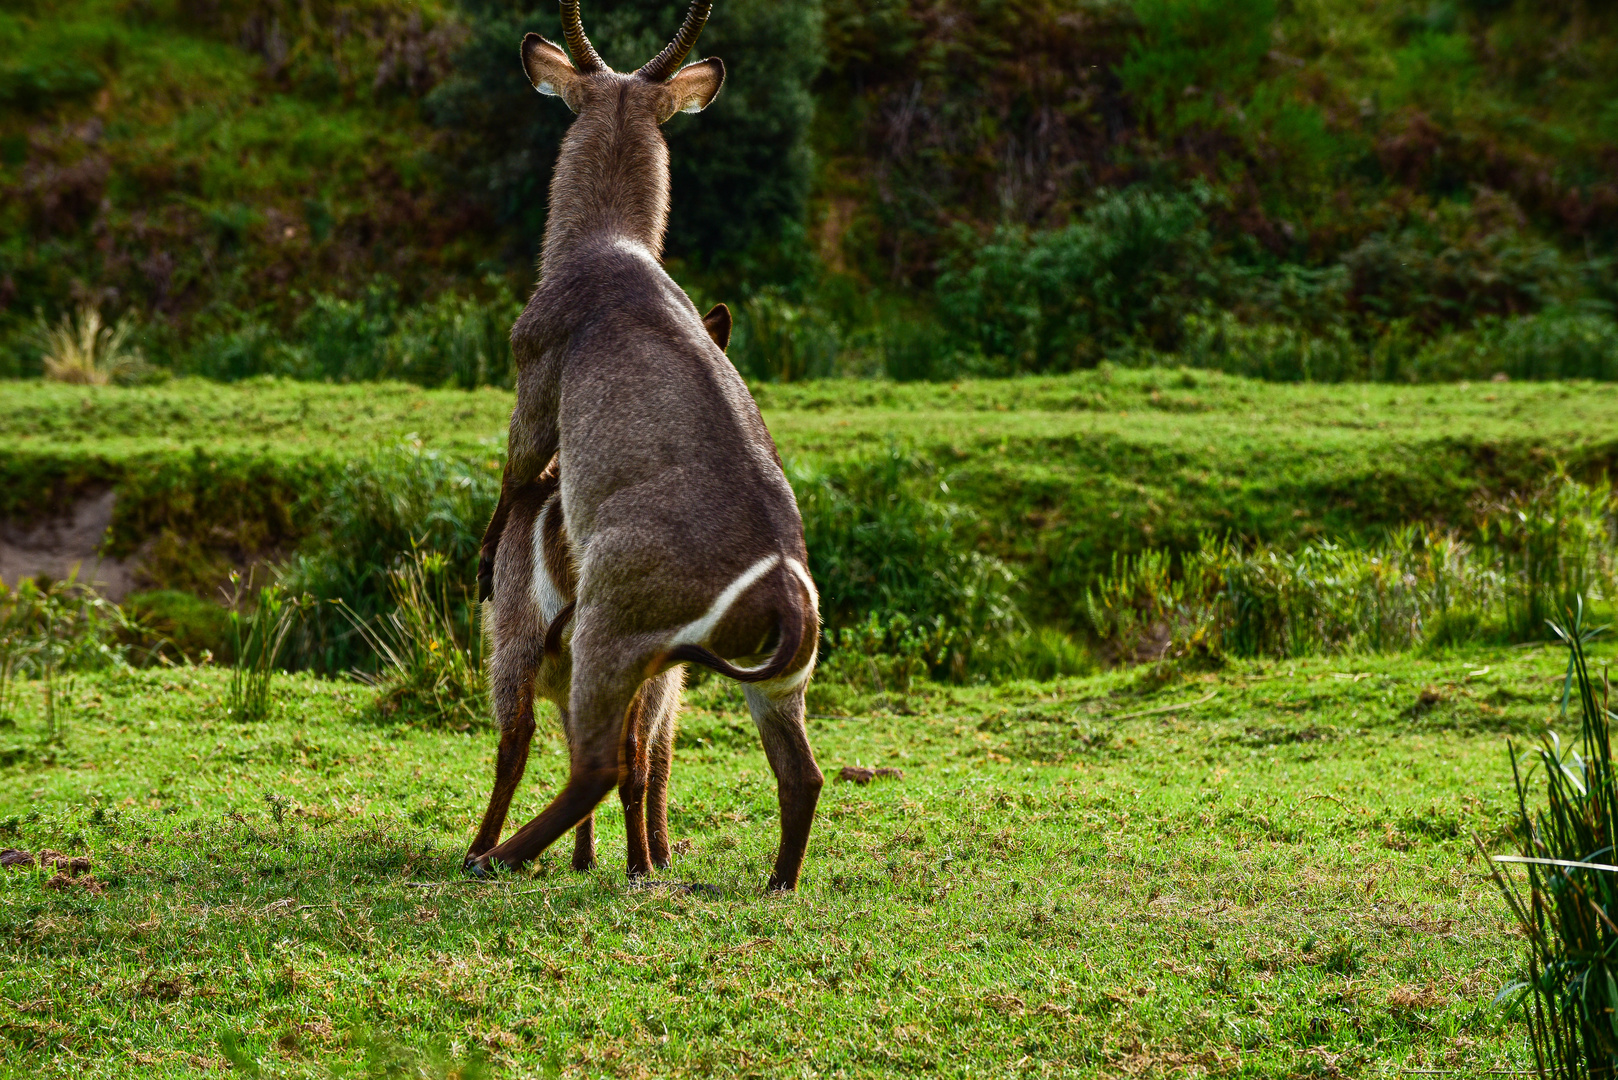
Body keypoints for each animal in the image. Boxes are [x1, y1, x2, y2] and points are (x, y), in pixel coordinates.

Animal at [465, 2, 821, 893]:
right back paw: (775, 885)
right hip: (773, 686)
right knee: (799, 774)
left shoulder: (533, 375)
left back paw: (493, 857)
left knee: (595, 763)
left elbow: (514, 472)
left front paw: (483, 563)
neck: (610, 241)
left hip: (608, 638)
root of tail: (781, 591)